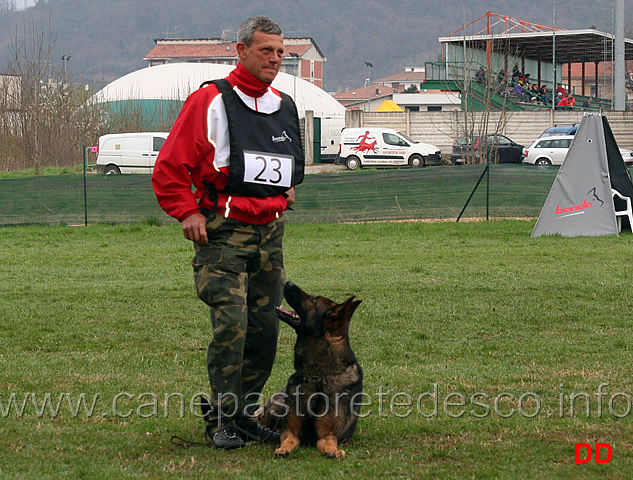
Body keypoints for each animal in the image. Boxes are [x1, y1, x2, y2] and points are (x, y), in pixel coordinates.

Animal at [260, 284, 362, 460]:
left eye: (314, 300)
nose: (288, 283)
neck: (316, 377)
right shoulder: (291, 431)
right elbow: (288, 440)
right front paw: (283, 449)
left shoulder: (327, 435)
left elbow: (329, 443)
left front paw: (334, 451)